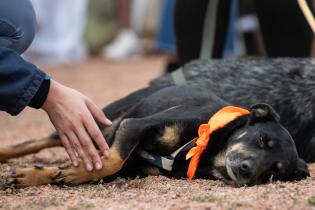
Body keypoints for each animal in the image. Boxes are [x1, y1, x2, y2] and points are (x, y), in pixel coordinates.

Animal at [0, 82, 310, 187]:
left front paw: (52, 175)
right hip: (100, 121)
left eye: (273, 172)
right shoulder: (134, 125)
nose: (247, 170)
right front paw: (69, 173)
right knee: (36, 142)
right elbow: (112, 159)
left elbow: (102, 165)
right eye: (261, 140)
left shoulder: (128, 167)